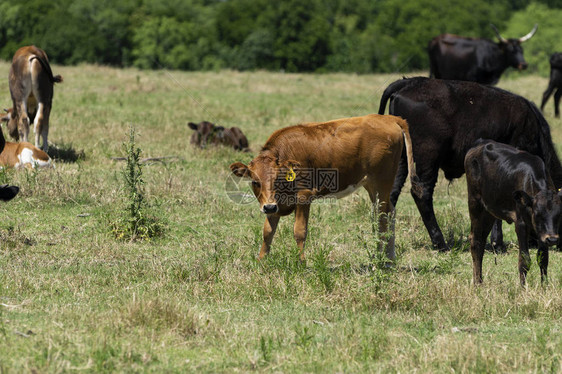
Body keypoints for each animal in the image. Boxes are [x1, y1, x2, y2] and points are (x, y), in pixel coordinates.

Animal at [228, 112, 416, 262]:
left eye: (278, 180)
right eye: (255, 182)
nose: (268, 207)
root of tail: (389, 118)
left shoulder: (303, 196)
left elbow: (299, 231)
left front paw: (301, 262)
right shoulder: (275, 204)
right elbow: (268, 231)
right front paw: (261, 261)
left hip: (382, 182)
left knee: (383, 217)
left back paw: (382, 260)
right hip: (372, 186)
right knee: (388, 213)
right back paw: (389, 258)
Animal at [376, 76, 560, 251]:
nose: (554, 241)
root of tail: (409, 83)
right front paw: (498, 244)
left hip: (402, 161)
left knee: (391, 193)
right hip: (427, 159)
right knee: (422, 194)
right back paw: (440, 243)